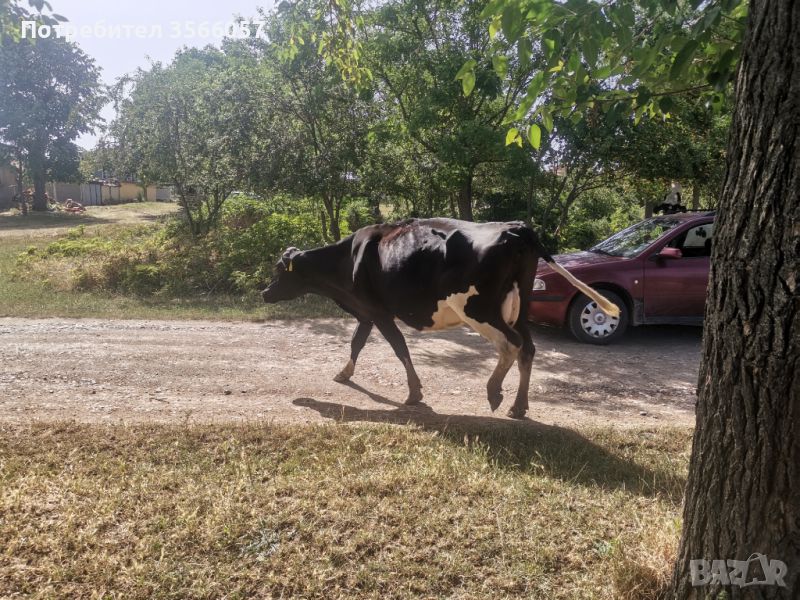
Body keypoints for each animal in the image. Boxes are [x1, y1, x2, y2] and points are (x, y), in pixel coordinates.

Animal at [262, 218, 620, 420]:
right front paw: (344, 373)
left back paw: (494, 392)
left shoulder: (378, 311)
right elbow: (356, 343)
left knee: (511, 345)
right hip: (519, 306)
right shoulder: (366, 311)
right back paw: (518, 407)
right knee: (528, 349)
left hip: (479, 308)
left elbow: (399, 347)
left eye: (279, 270)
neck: (347, 260)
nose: (264, 293)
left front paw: (414, 393)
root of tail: (516, 228)